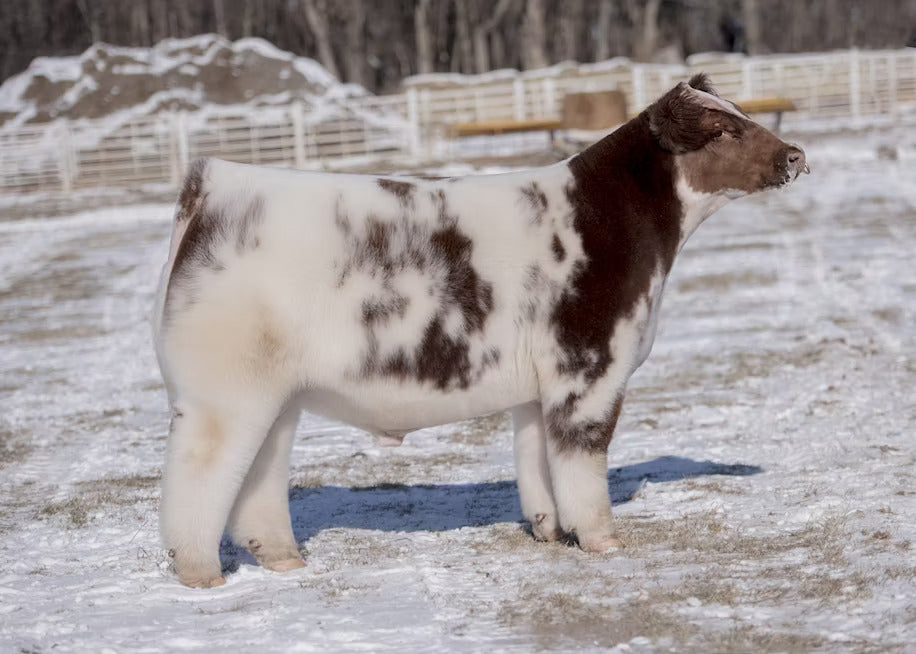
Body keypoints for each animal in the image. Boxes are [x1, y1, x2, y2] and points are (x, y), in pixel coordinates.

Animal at [153, 74, 807, 588]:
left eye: (744, 113)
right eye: (721, 130)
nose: (795, 156)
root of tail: (213, 182)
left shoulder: (538, 388)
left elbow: (537, 466)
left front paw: (550, 532)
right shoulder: (589, 368)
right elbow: (582, 463)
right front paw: (602, 540)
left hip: (275, 396)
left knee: (258, 478)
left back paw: (285, 559)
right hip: (223, 395)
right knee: (198, 478)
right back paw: (201, 574)